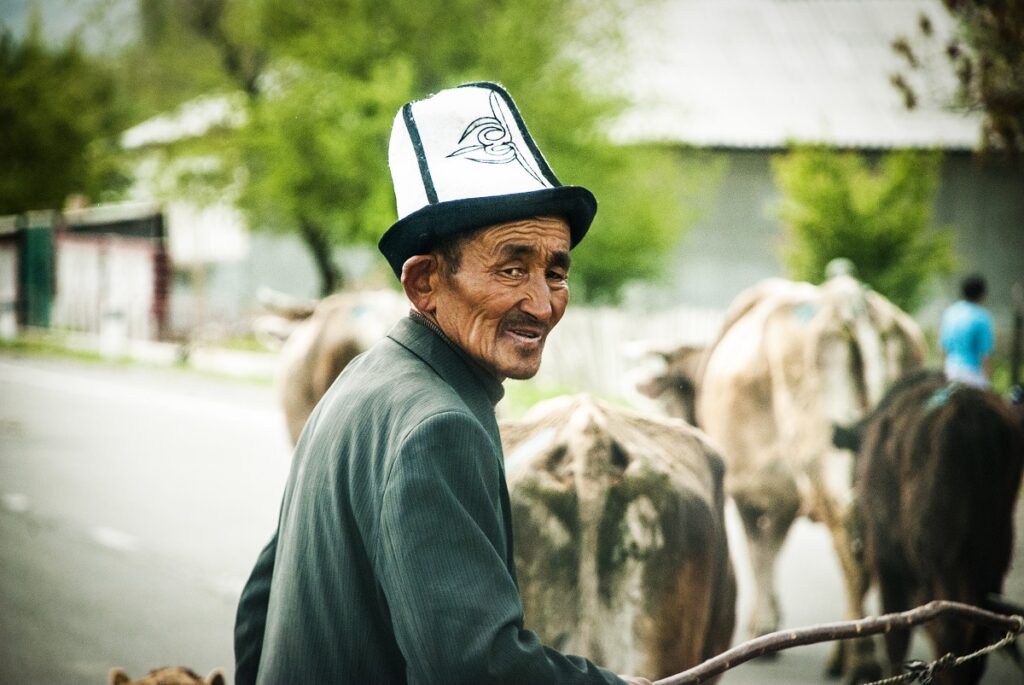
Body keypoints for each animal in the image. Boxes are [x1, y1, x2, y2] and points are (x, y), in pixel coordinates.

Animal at [839, 370, 1024, 679]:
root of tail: (962, 411)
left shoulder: (887, 565)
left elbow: (895, 636)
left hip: (937, 554)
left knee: (949, 627)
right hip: (991, 551)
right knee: (977, 629)